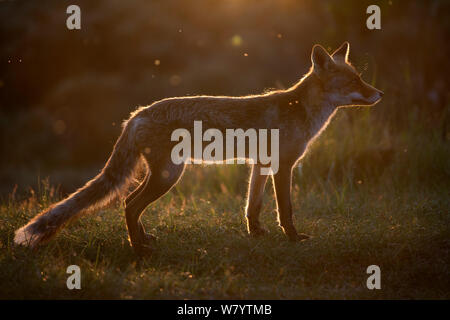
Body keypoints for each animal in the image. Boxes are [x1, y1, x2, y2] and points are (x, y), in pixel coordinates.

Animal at [14, 42, 384, 255]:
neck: (301, 110)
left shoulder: (260, 165)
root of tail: (136, 114)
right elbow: (286, 209)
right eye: (354, 81)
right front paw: (293, 239)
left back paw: (144, 239)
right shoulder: (283, 165)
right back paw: (138, 248)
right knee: (130, 205)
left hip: (162, 174)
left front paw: (255, 234)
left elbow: (253, 206)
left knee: (129, 202)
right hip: (169, 175)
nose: (379, 94)